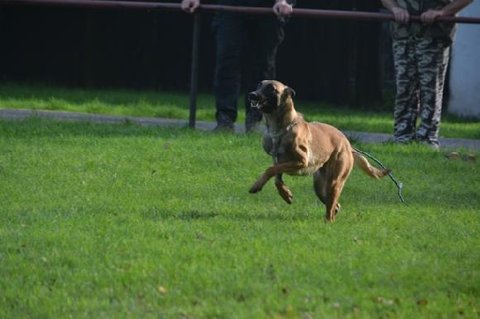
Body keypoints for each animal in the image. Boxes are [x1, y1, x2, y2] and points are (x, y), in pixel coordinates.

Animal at [248, 80, 390, 222]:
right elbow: (276, 176)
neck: (280, 128)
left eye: (271, 88)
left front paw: (256, 185)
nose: (252, 95)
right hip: (320, 187)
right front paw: (285, 193)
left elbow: (270, 169)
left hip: (334, 182)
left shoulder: (301, 161)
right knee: (335, 206)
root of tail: (348, 145)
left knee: (331, 209)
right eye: (259, 85)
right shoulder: (278, 160)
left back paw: (328, 223)